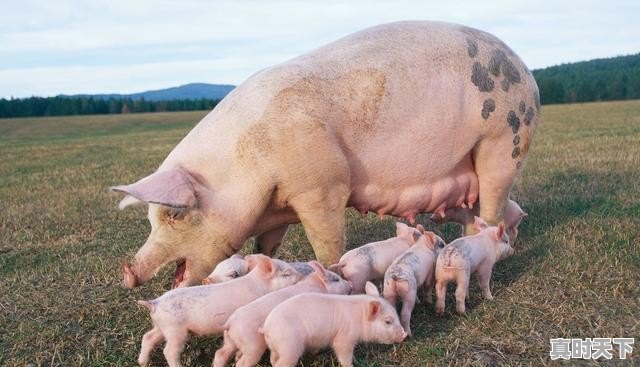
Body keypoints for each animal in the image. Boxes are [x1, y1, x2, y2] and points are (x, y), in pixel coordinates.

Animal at [112, 20, 536, 288]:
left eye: (174, 214)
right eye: (151, 218)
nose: (128, 271)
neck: (242, 167)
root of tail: (524, 68)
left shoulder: (322, 184)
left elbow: (327, 240)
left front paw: (332, 273)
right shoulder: (275, 204)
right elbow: (266, 244)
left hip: (504, 140)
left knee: (492, 207)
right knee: (492, 212)